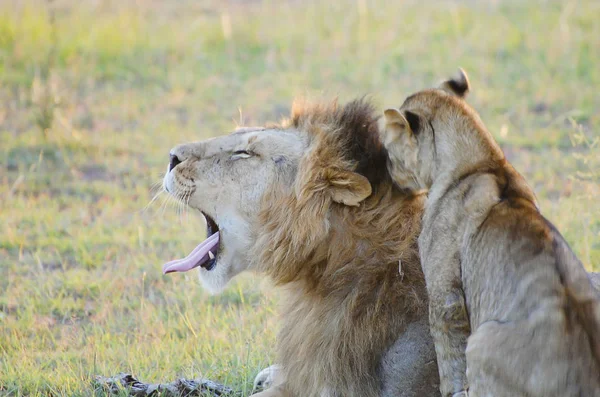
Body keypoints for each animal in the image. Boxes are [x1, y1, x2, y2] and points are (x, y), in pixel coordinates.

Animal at [382, 69, 600, 394]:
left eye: (387, 148)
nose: (386, 170)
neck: (484, 160)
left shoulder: (444, 290)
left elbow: (448, 357)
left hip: (480, 344)